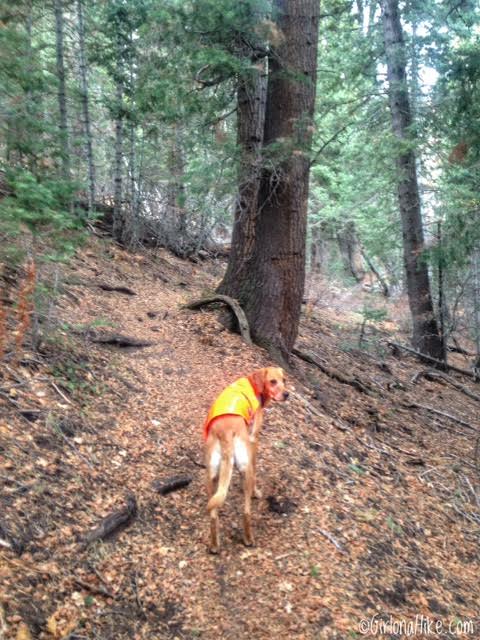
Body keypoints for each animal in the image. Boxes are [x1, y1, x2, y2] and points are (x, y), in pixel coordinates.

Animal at [203, 368, 288, 552]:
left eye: (284, 380)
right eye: (273, 381)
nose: (287, 394)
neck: (252, 383)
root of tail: (225, 433)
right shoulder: (254, 439)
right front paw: (257, 492)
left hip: (211, 475)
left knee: (213, 514)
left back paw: (214, 546)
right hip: (245, 468)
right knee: (246, 512)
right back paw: (248, 539)